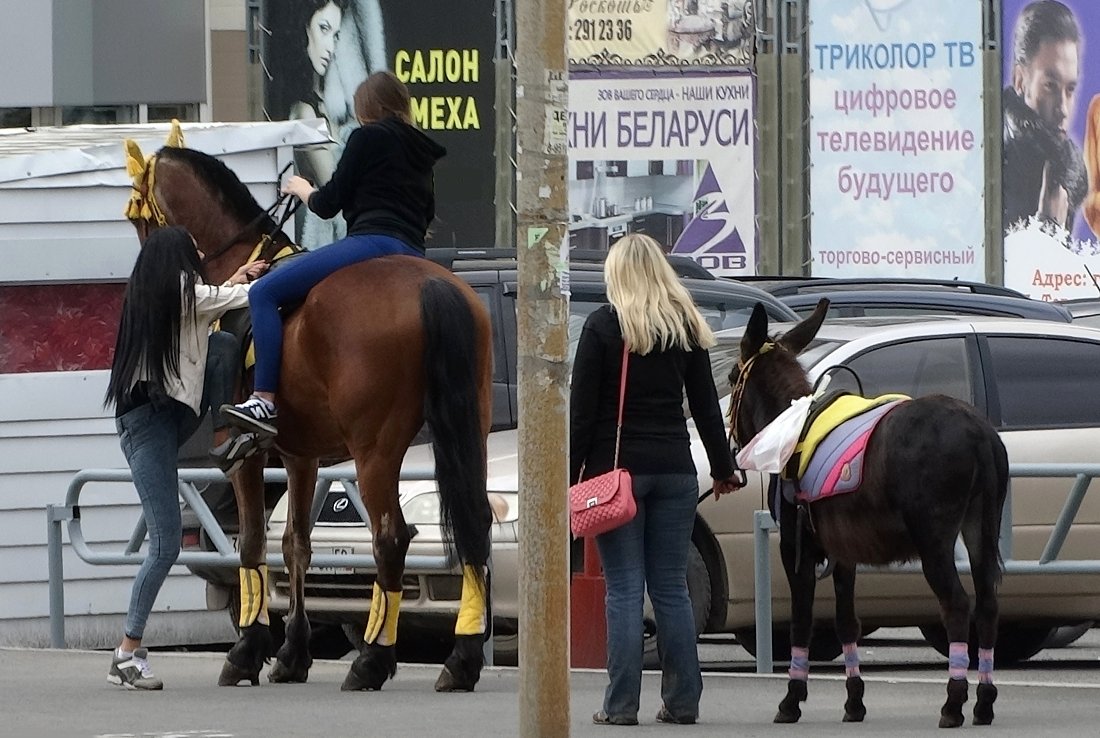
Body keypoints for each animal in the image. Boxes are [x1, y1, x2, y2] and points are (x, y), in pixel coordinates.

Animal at [123, 138, 495, 695]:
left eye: (136, 215)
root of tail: (431, 286)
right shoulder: (303, 457)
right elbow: (295, 542)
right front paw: (293, 653)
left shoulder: (249, 459)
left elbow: (252, 543)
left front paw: (248, 651)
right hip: (469, 433)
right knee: (476, 525)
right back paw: (462, 657)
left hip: (375, 450)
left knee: (390, 538)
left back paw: (372, 659)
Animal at [726, 299, 1007, 725]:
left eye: (729, 377)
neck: (791, 426)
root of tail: (978, 433)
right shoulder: (843, 551)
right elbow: (847, 623)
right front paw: (854, 700)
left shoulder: (795, 547)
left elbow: (801, 622)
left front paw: (791, 699)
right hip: (982, 525)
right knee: (988, 603)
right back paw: (985, 701)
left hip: (935, 540)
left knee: (957, 605)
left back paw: (953, 702)